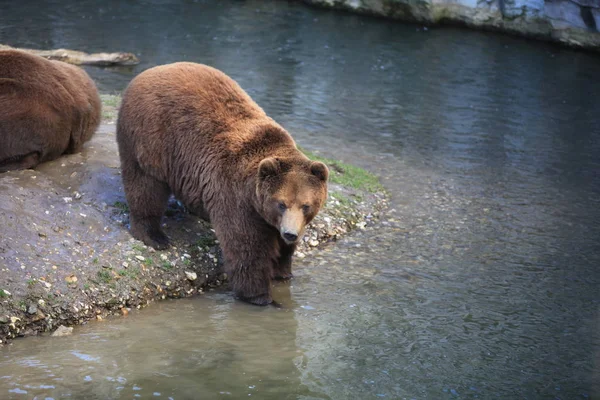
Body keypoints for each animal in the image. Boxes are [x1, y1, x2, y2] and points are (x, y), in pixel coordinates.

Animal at [118, 62, 330, 306]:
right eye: (281, 204)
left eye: (306, 205)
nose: (290, 234)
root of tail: (147, 72)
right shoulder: (235, 196)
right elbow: (246, 247)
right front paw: (262, 297)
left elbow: (282, 250)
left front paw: (284, 271)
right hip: (150, 138)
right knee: (145, 187)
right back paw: (154, 235)